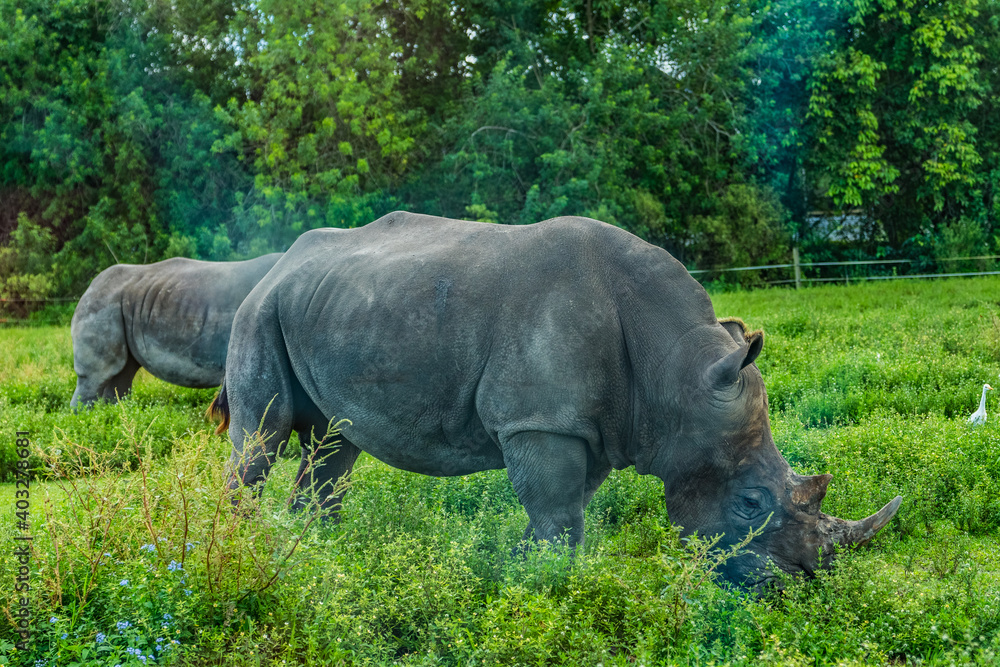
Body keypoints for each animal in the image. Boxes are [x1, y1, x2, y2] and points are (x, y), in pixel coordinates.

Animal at [212, 212, 900, 587]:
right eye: (751, 503)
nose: (803, 583)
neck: (675, 370)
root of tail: (279, 264)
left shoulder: (590, 427)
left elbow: (566, 510)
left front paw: (528, 573)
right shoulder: (540, 423)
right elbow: (559, 512)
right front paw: (553, 588)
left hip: (331, 306)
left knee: (336, 448)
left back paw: (316, 552)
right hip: (259, 313)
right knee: (262, 435)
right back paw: (239, 546)